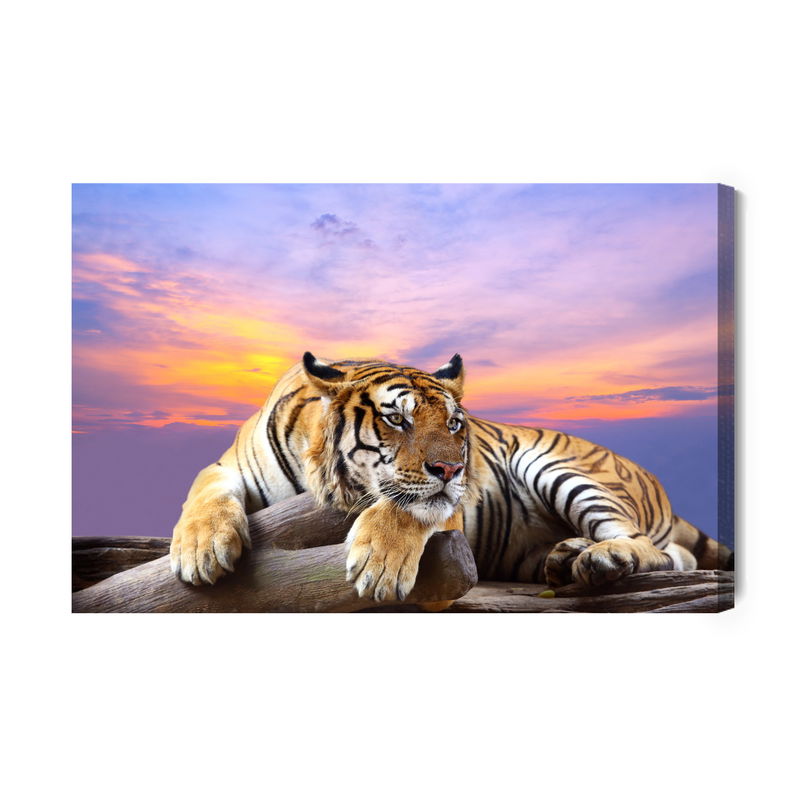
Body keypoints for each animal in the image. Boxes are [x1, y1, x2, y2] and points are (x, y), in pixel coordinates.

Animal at [170, 352, 733, 603]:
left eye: (455, 424)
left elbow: (408, 507)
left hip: (560, 468)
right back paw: (566, 557)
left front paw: (379, 566)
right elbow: (203, 493)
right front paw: (201, 550)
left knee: (653, 549)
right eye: (397, 419)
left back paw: (600, 559)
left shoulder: (444, 504)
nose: (453, 468)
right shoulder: (226, 467)